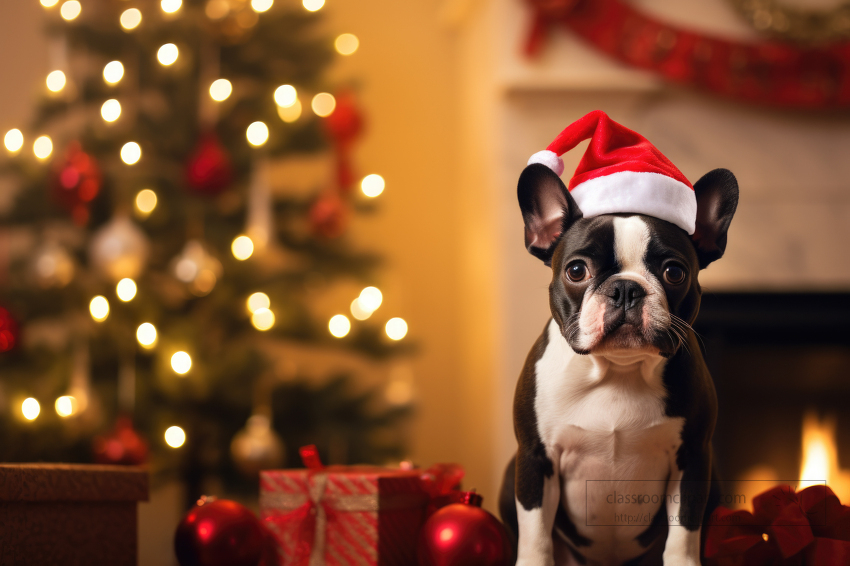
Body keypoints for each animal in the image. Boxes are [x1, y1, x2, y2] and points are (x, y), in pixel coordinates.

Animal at [496, 112, 736, 566]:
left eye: (674, 272)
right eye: (577, 270)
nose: (625, 288)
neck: (617, 371)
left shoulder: (694, 459)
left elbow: (683, 534)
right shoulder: (534, 459)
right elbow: (535, 536)